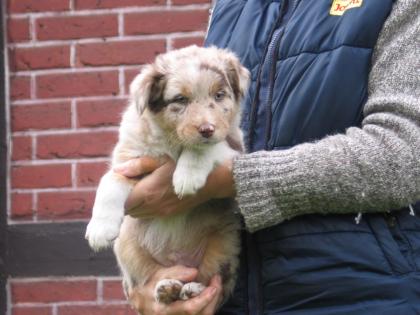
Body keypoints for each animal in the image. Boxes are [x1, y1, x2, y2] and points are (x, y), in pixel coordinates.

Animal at [85, 45, 249, 308]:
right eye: (180, 99)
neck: (172, 140)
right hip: (128, 248)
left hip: (225, 246)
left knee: (212, 282)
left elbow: (204, 148)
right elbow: (110, 181)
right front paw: (100, 228)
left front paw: (187, 176)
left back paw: (190, 289)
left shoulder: (235, 146)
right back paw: (168, 288)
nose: (207, 129)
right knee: (149, 278)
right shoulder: (128, 160)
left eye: (219, 95)